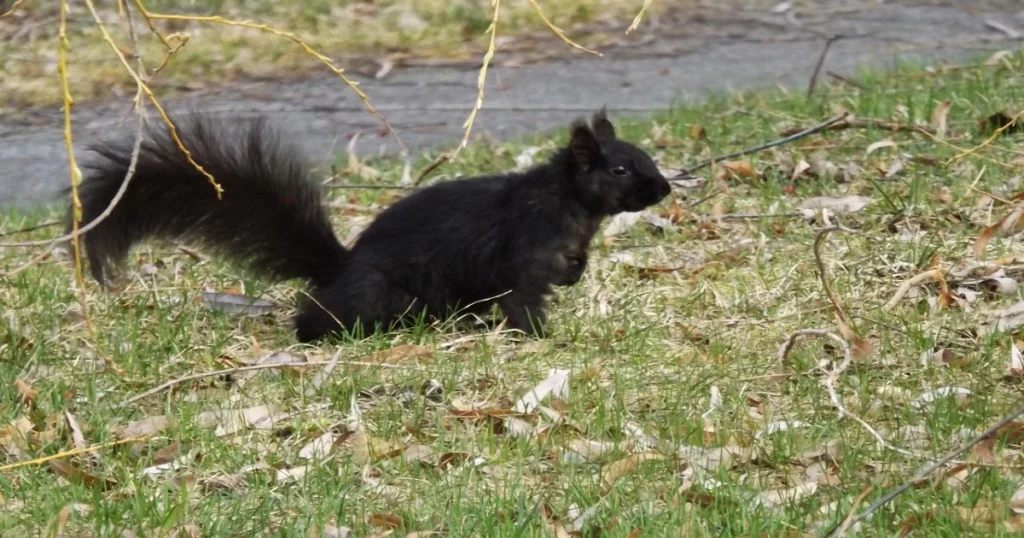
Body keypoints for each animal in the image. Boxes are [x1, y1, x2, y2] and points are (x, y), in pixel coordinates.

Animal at [75, 111, 675, 342]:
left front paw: (576, 272)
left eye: (644, 157)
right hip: (380, 294)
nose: (664, 190)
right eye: (620, 170)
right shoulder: (523, 249)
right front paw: (539, 338)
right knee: (318, 316)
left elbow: (570, 266)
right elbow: (525, 298)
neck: (572, 206)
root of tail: (339, 269)